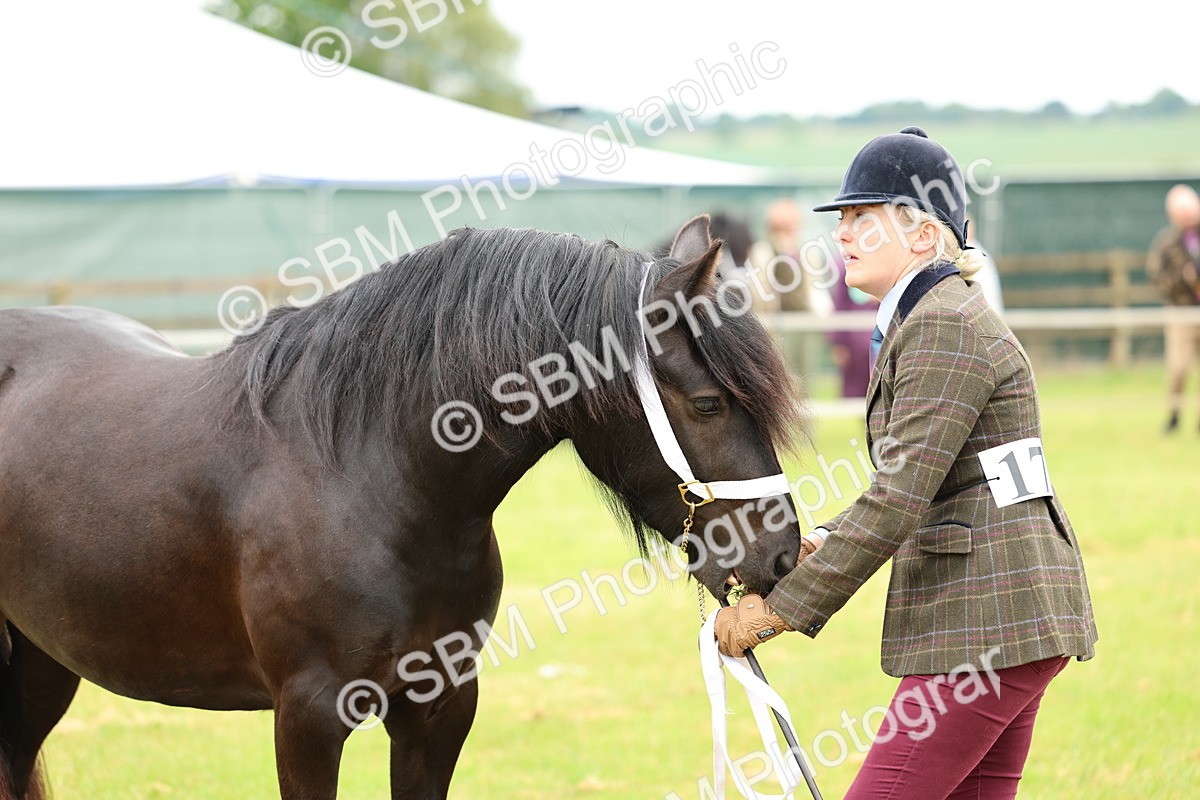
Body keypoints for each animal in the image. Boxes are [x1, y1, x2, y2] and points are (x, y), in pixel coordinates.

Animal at [0, 215, 807, 799]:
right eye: (707, 403)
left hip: (42, 662)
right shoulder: (307, 719)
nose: (783, 554)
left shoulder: (439, 710)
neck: (369, 478)